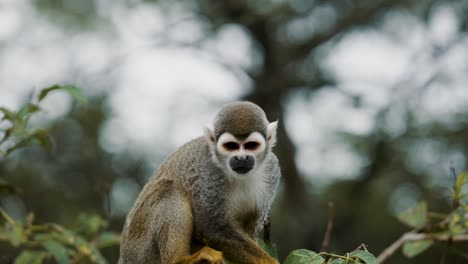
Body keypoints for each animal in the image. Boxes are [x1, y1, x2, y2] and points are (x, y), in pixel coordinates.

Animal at [119, 101, 280, 264]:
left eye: (251, 145)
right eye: (231, 146)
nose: (242, 158)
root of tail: (124, 256)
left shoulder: (272, 170)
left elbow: (250, 230)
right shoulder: (208, 172)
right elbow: (213, 230)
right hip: (141, 250)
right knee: (169, 190)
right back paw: (180, 259)